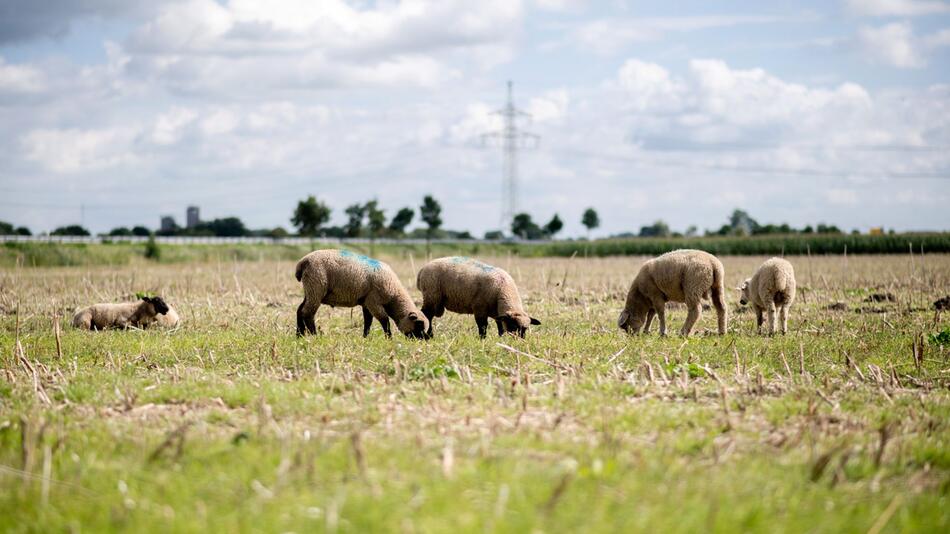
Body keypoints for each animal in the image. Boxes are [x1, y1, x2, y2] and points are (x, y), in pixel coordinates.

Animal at [296, 250, 430, 340]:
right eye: (419, 324)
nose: (423, 340)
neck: (393, 296)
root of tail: (303, 261)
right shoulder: (373, 301)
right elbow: (384, 319)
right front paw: (389, 338)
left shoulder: (366, 303)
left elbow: (368, 321)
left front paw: (365, 337)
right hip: (316, 287)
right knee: (308, 313)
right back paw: (314, 335)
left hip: (310, 290)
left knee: (300, 310)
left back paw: (299, 335)